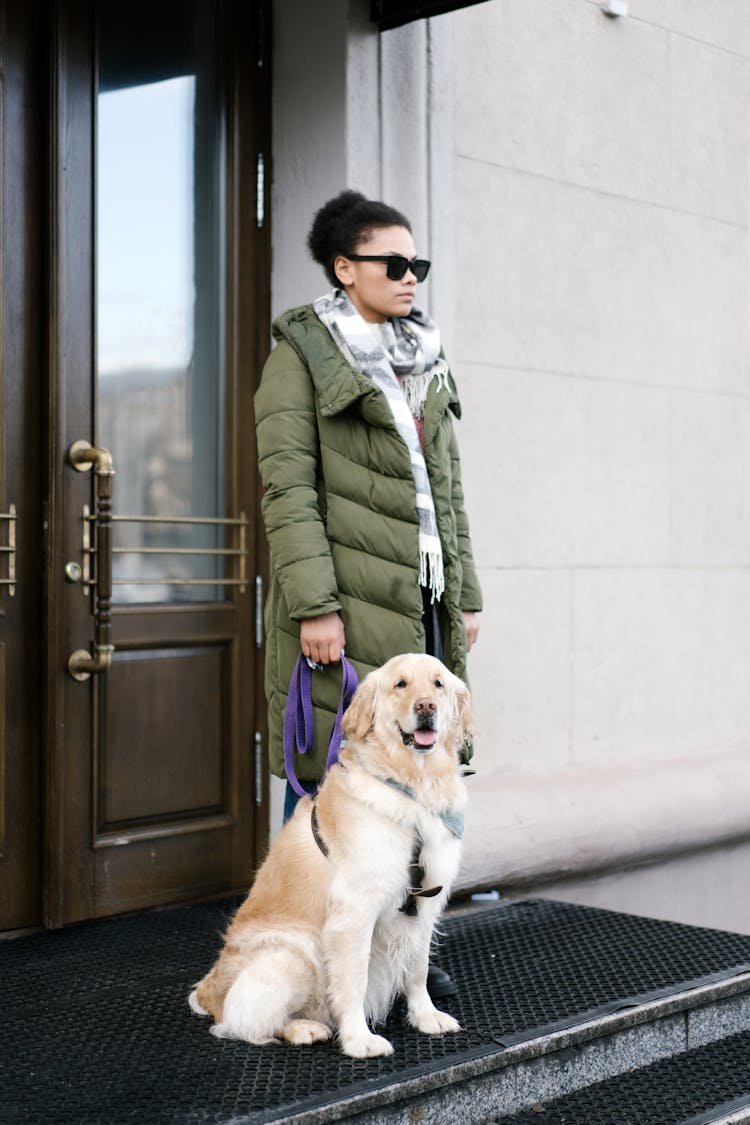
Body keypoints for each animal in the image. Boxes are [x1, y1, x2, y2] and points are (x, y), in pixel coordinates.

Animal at [188, 652, 470, 1053]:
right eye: (400, 684)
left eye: (438, 684)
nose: (426, 706)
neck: (412, 787)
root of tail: (208, 993)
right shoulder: (354, 909)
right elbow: (353, 981)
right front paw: (358, 1039)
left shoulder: (425, 901)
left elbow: (417, 969)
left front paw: (426, 1016)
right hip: (294, 951)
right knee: (243, 1021)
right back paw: (302, 1028)